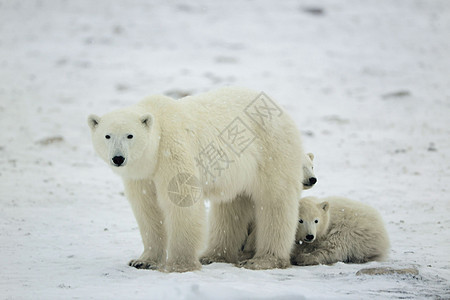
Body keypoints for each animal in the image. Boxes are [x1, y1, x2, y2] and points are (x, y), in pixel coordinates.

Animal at [87, 86, 306, 272]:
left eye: (130, 135)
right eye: (107, 136)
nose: (118, 158)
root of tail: (283, 112)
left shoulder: (173, 149)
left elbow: (181, 199)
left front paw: (179, 265)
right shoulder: (142, 175)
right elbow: (147, 208)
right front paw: (143, 261)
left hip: (272, 150)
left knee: (275, 201)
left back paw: (264, 260)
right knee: (231, 206)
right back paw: (214, 255)